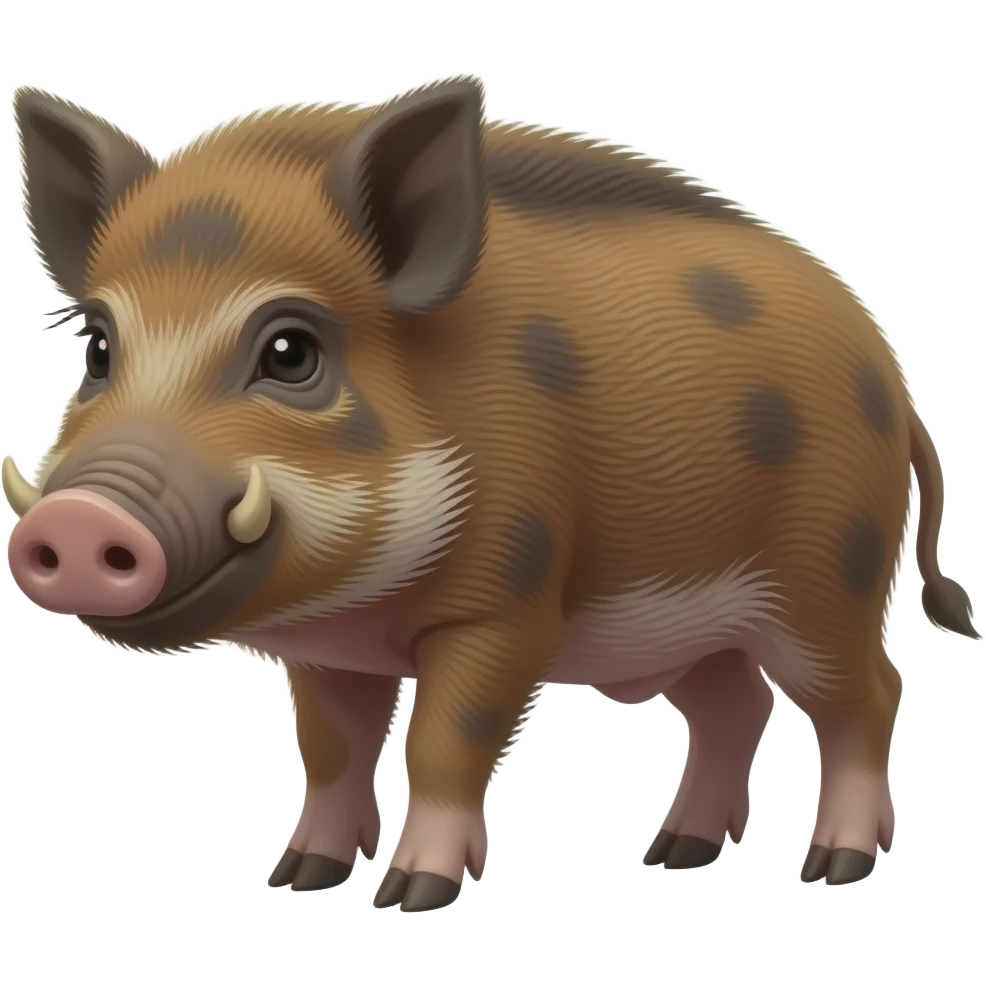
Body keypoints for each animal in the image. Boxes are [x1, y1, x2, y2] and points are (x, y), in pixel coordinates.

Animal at [4, 75, 981, 910]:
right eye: (96, 347)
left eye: (290, 350)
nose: (77, 519)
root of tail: (896, 388)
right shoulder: (324, 652)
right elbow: (331, 751)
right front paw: (300, 877)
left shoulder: (508, 608)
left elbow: (445, 741)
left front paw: (413, 894)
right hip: (700, 627)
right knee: (734, 703)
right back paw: (673, 854)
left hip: (831, 579)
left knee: (867, 695)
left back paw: (833, 867)